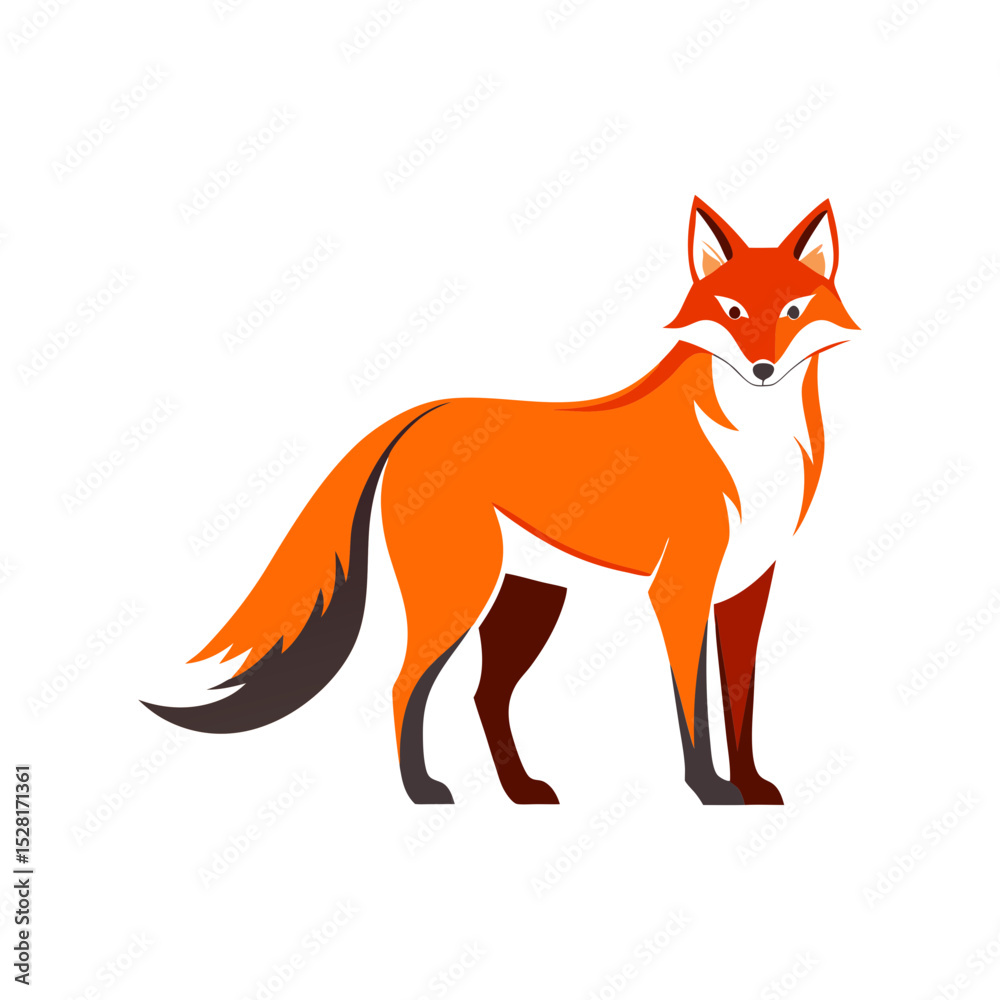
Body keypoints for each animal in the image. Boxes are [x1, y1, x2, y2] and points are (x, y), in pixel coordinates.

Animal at [143, 197, 858, 805]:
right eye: (733, 313)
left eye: (792, 313)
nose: (763, 371)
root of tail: (421, 415)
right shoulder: (681, 587)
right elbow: (695, 709)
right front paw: (710, 790)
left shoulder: (747, 587)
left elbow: (741, 700)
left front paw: (753, 787)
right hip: (461, 593)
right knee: (405, 685)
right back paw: (422, 791)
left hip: (527, 600)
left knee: (486, 696)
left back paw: (521, 791)